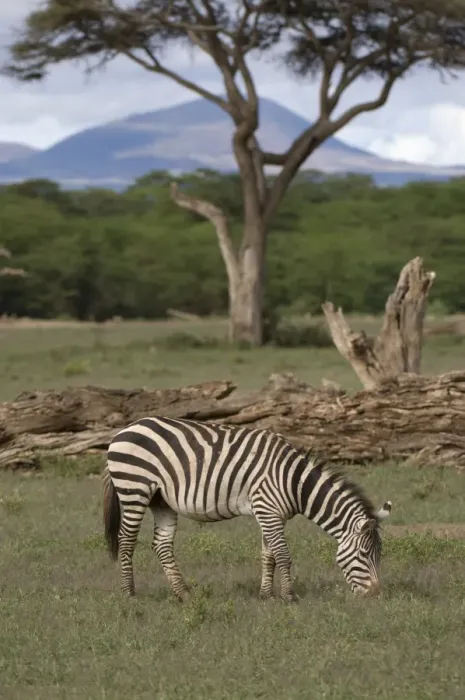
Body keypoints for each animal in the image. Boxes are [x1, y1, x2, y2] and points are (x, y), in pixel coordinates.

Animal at [102, 415, 392, 601]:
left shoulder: (271, 514)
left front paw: (266, 596)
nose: (375, 595)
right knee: (126, 540)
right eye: (365, 554)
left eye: (380, 554)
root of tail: (124, 429)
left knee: (161, 545)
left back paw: (184, 593)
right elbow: (283, 555)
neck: (293, 481)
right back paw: (129, 594)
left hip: (160, 500)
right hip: (134, 488)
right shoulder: (267, 509)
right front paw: (290, 597)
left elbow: (269, 554)